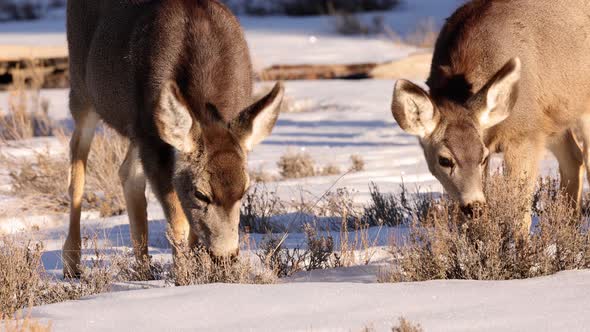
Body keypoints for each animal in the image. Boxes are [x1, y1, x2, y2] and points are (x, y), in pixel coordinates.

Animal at [63, 0, 286, 278]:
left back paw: (143, 268)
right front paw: (184, 277)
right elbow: (178, 222)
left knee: (127, 172)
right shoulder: (152, 138)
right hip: (82, 91)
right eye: (201, 193)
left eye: (244, 191)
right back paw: (72, 264)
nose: (225, 255)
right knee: (77, 168)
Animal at [394, 0, 590, 230]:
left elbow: (519, 213)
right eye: (444, 160)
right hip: (555, 118)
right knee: (573, 158)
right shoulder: (534, 128)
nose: (475, 207)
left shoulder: (525, 134)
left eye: (482, 157)